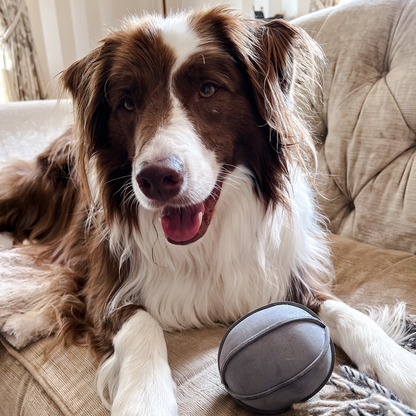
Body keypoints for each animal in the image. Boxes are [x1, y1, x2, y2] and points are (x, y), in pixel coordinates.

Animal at [0, 7, 416, 416]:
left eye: (208, 89)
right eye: (127, 103)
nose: (156, 179)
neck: (207, 241)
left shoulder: (290, 273)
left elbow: (346, 312)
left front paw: (401, 368)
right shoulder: (108, 285)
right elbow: (141, 322)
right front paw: (145, 399)